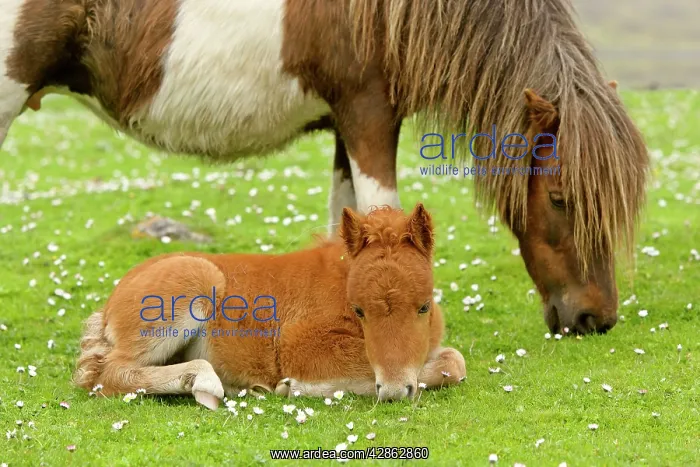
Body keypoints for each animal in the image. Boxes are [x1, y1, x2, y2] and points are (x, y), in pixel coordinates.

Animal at [0, 0, 649, 334]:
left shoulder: (347, 122)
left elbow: (349, 226)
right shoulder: (368, 114)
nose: (596, 318)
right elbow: (383, 216)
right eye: (560, 197)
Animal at [73, 203, 467, 408]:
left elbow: (453, 361)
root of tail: (110, 302)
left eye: (424, 307)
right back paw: (203, 381)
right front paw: (297, 388)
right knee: (110, 372)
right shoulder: (299, 345)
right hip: (196, 283)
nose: (397, 391)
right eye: (359, 311)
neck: (340, 280)